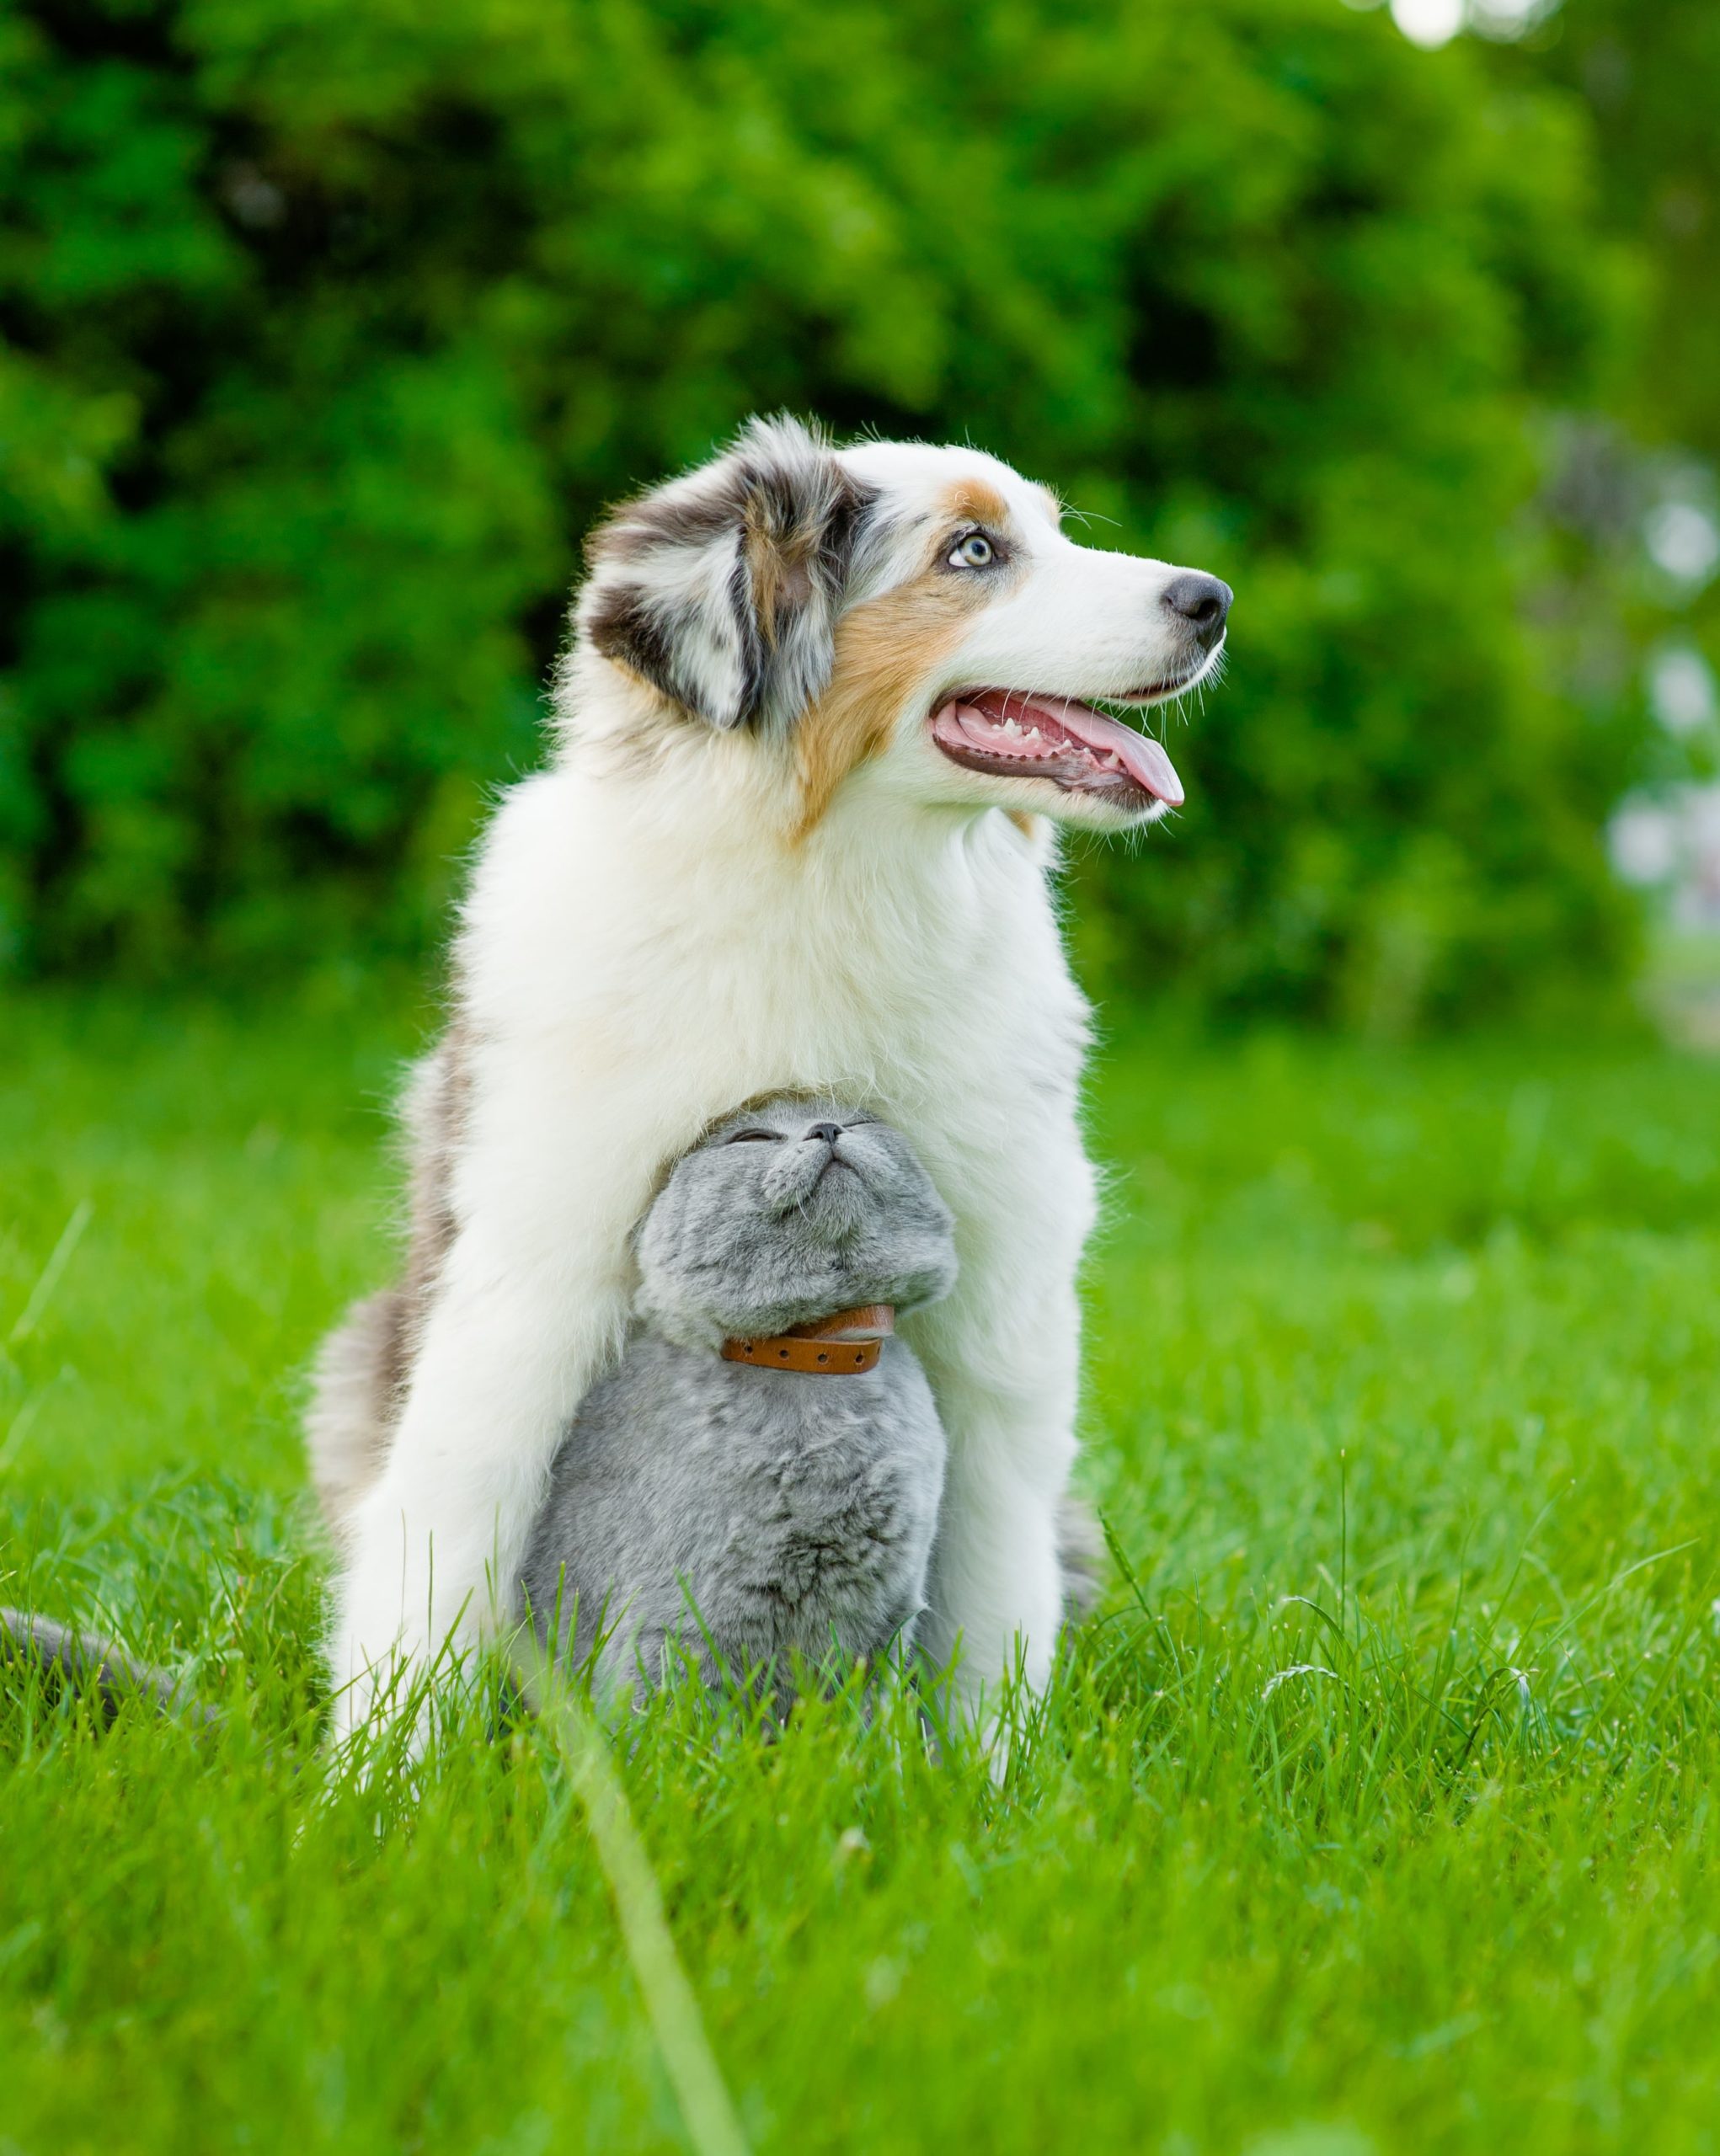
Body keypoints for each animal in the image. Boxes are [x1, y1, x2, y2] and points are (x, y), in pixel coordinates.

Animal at [519, 1103, 961, 1707]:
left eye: (861, 1122)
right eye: (752, 1137)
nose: (827, 1130)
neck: (810, 1357)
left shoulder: (885, 1622)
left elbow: (868, 1717)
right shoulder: (677, 1621)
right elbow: (681, 1718)